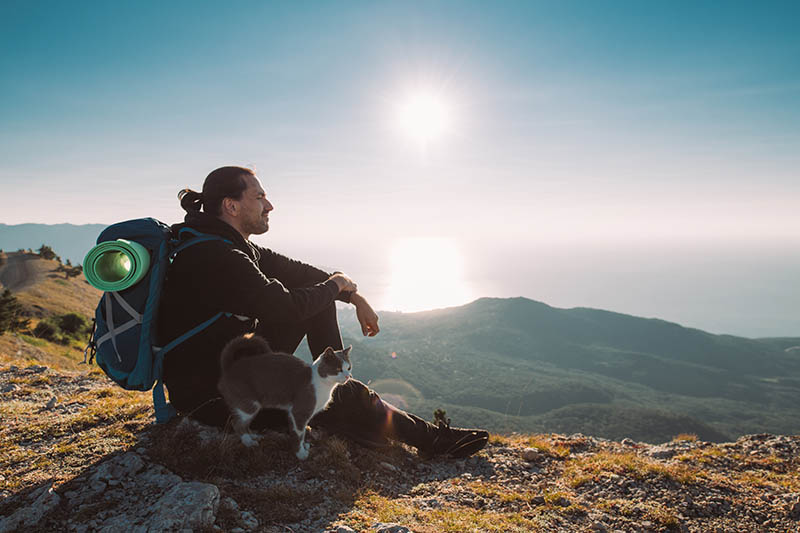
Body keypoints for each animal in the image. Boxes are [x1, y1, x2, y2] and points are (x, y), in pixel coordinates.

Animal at [217, 334, 352, 460]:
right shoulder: (299, 411)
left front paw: (303, 447)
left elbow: (300, 433)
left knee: (244, 423)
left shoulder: (295, 414)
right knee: (237, 423)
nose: (348, 376)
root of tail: (229, 368)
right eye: (338, 369)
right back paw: (249, 442)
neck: (323, 383)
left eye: (349, 367)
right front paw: (300, 454)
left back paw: (253, 436)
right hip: (248, 404)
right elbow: (299, 434)